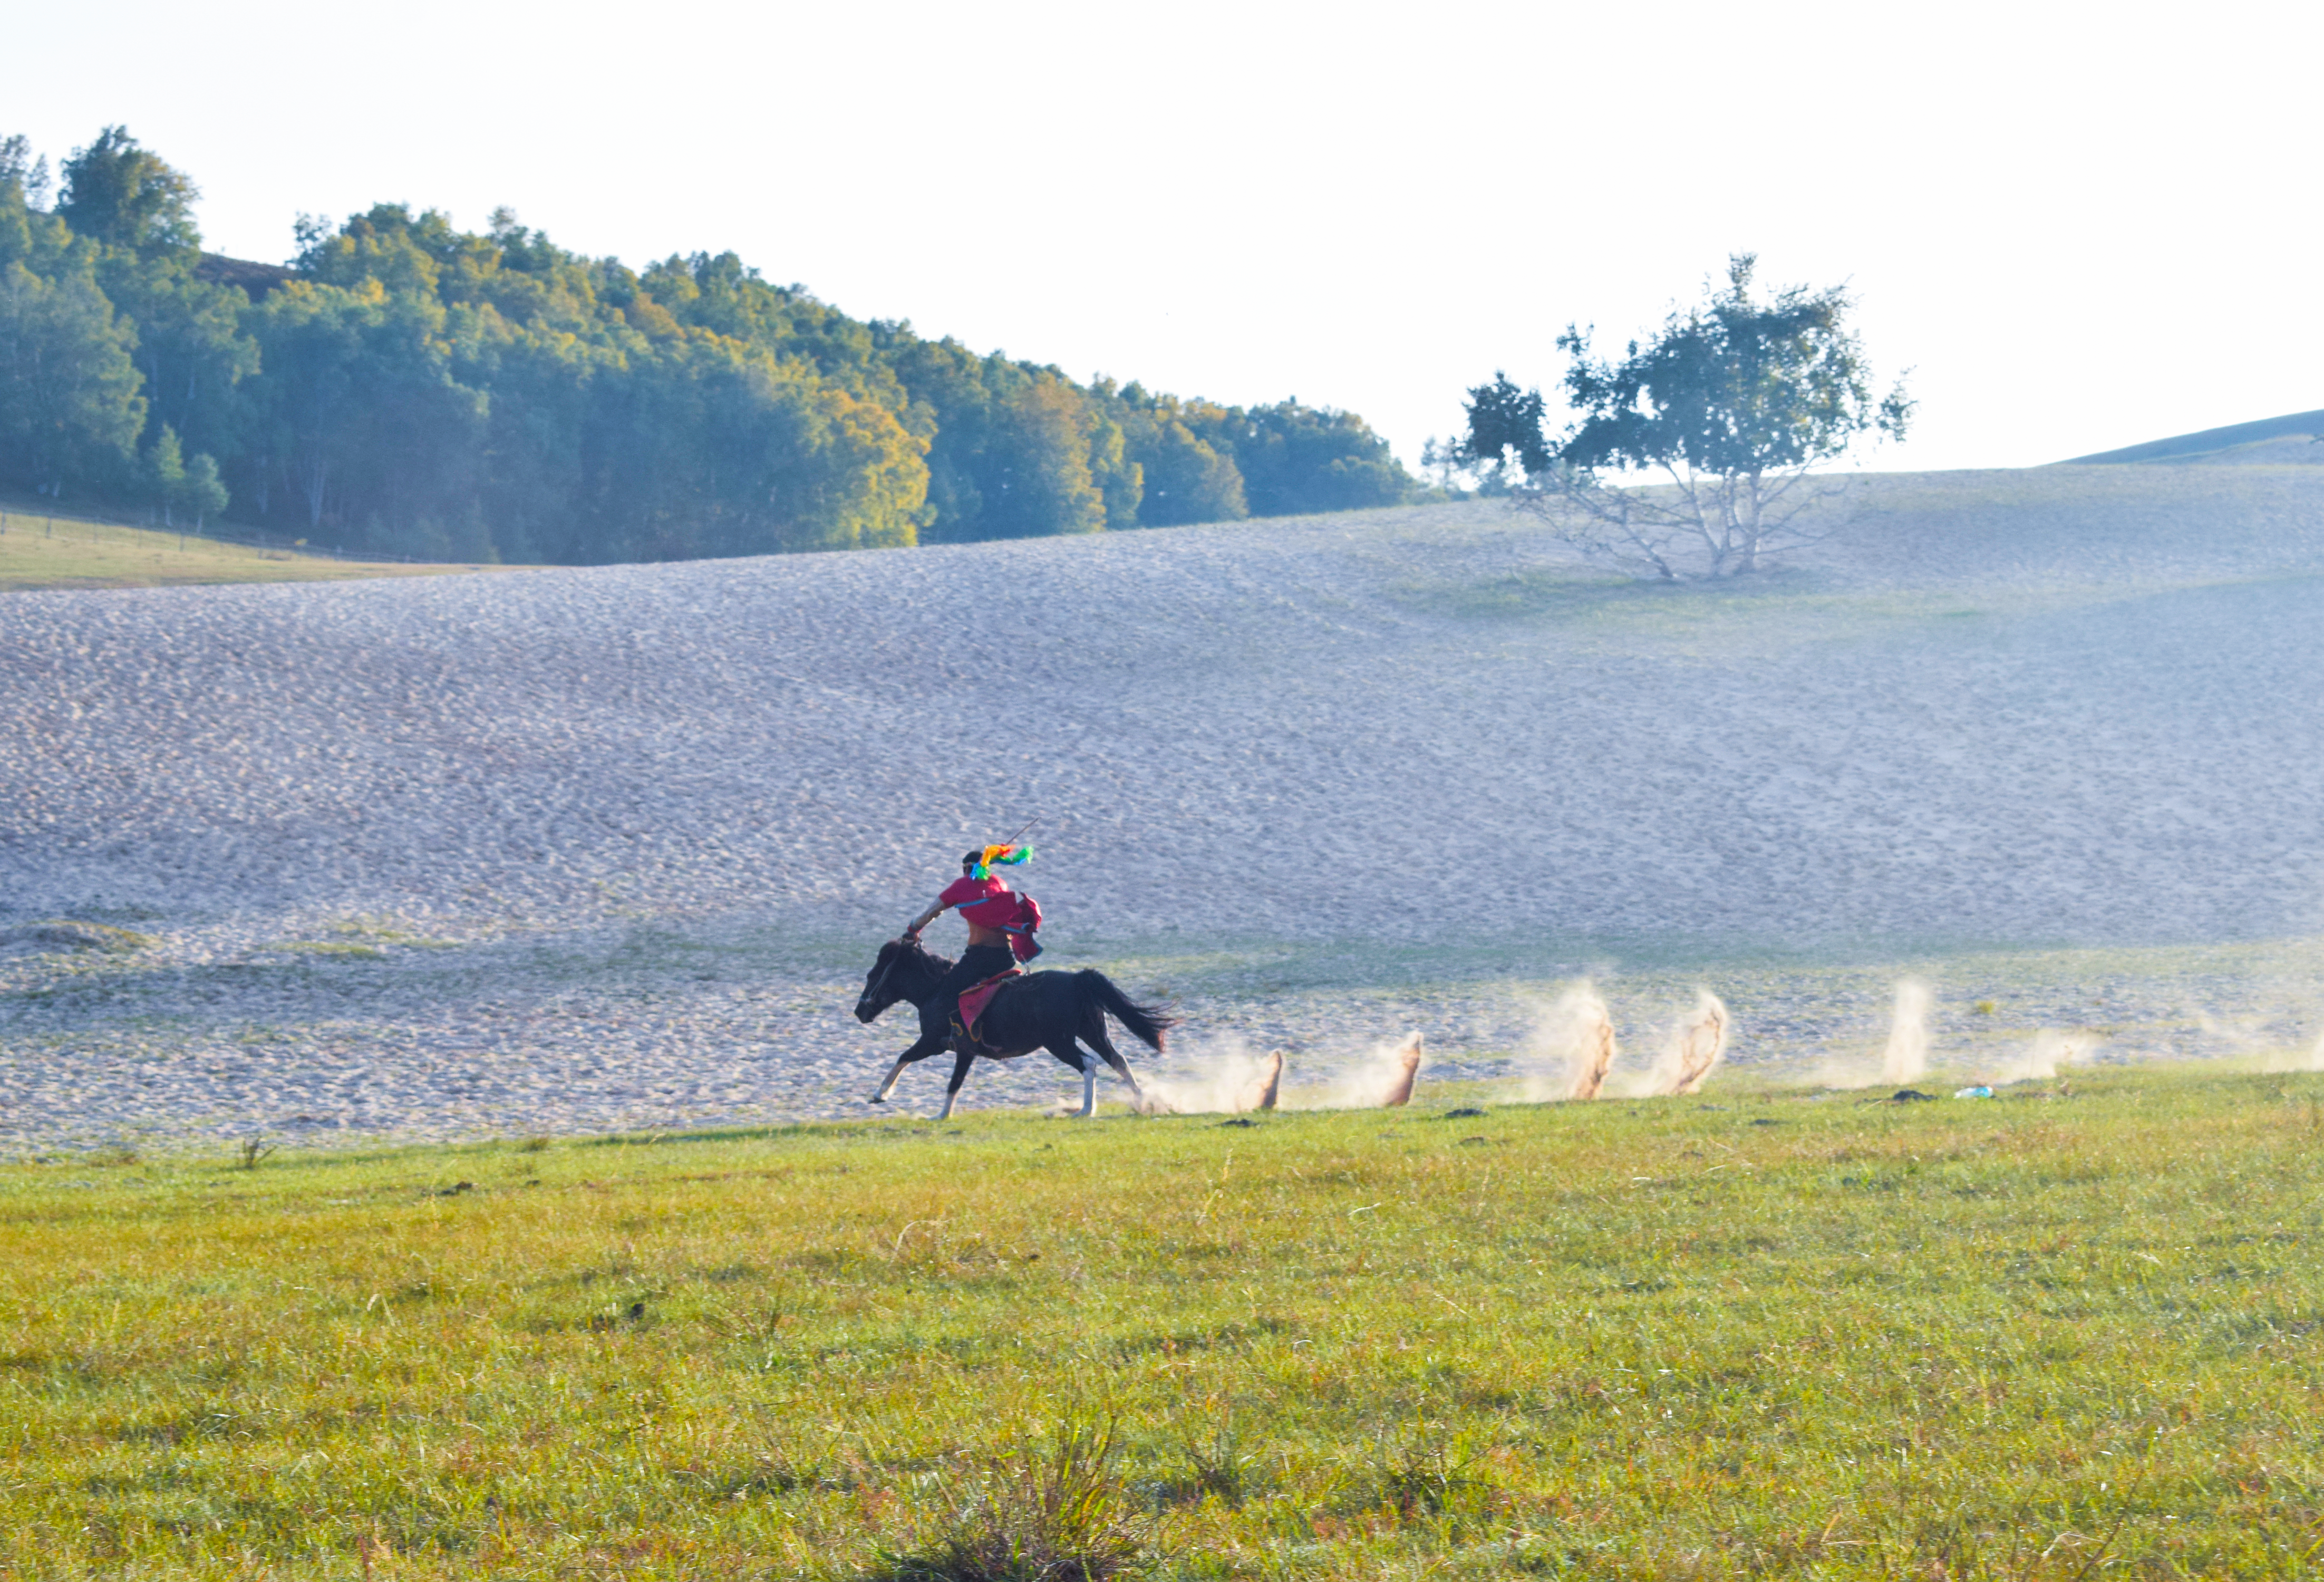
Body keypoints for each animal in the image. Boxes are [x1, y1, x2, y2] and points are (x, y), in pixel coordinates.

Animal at [853, 937, 1174, 1119]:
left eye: (872, 975)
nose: (859, 1012)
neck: (937, 989)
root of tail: (1077, 980)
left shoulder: (933, 1042)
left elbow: (904, 1058)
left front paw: (881, 1094)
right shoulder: (964, 1052)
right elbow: (955, 1083)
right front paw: (942, 1115)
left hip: (1059, 1042)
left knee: (1089, 1064)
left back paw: (1085, 1110)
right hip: (1092, 1032)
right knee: (1118, 1060)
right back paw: (1142, 1102)